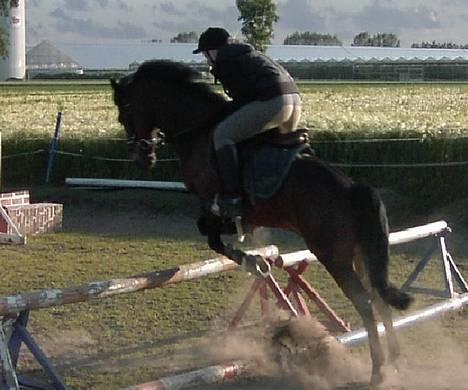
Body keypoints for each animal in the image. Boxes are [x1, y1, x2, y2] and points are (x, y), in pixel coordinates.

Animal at [111, 60, 412, 386]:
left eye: (124, 112)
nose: (142, 157)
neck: (198, 130)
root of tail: (353, 188)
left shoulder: (211, 199)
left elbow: (212, 236)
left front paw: (252, 261)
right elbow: (215, 232)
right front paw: (250, 249)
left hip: (333, 256)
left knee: (366, 303)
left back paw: (378, 370)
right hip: (360, 254)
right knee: (379, 300)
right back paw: (394, 362)